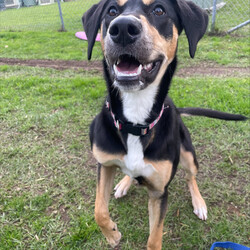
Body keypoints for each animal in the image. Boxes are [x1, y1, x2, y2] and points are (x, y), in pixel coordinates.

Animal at [81, 0, 246, 248]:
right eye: (112, 11)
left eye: (159, 10)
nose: (122, 28)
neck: (136, 118)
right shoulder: (104, 164)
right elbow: (98, 210)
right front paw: (112, 234)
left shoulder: (159, 192)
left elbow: (154, 238)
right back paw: (124, 183)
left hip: (188, 153)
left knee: (191, 176)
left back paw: (199, 202)